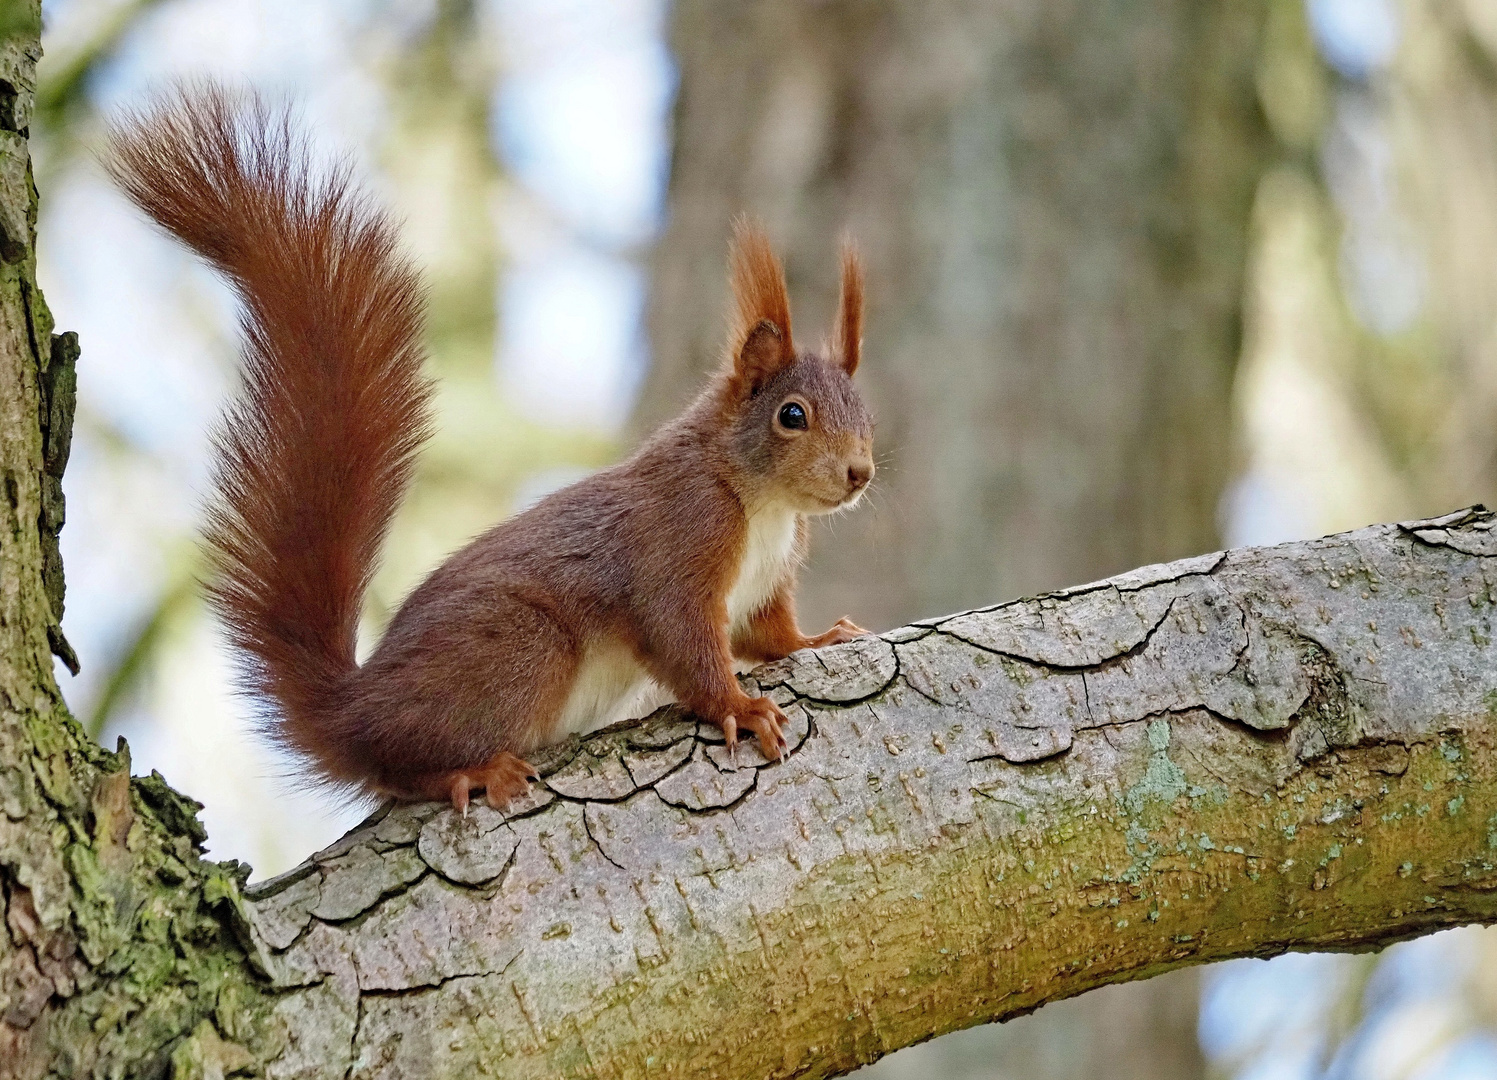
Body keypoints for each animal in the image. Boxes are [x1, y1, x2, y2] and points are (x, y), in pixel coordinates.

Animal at [108, 90, 874, 808]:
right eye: (792, 416)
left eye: (865, 415)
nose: (859, 473)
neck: (761, 502)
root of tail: (352, 712)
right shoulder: (682, 536)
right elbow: (683, 638)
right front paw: (740, 708)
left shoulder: (765, 583)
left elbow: (765, 637)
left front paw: (815, 641)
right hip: (523, 648)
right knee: (400, 768)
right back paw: (469, 771)